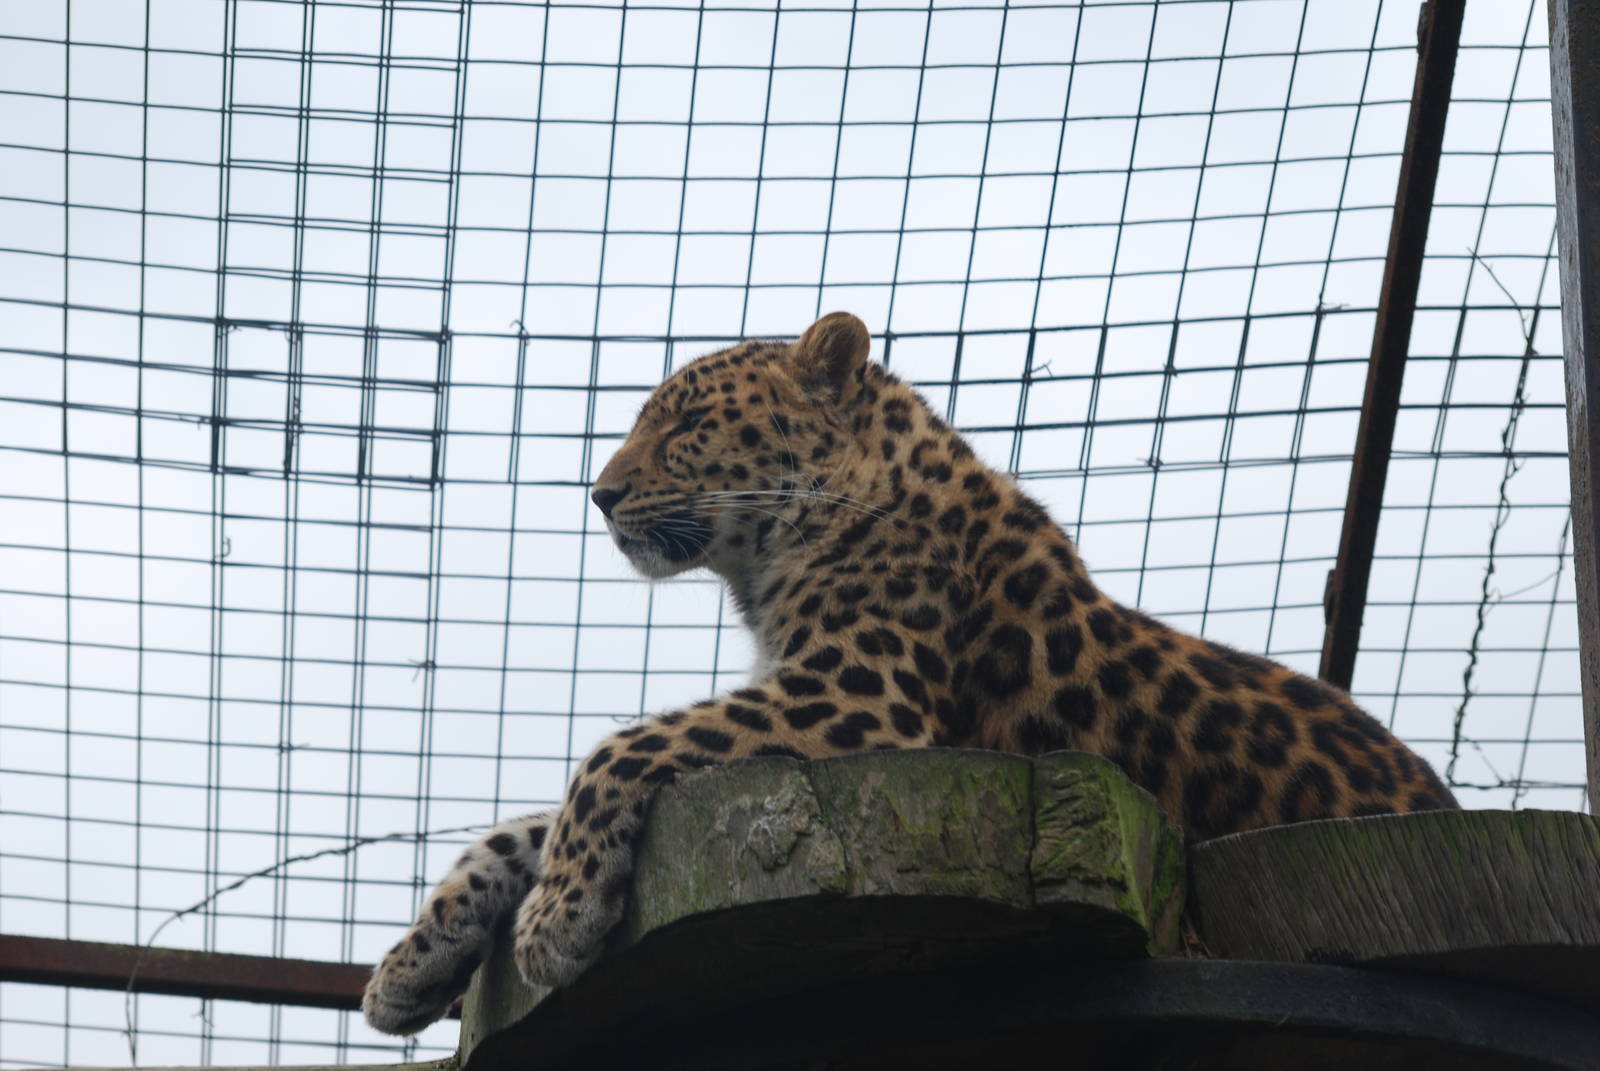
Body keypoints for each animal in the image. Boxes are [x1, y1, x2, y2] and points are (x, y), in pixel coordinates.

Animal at [362, 312, 1456, 1035]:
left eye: (686, 426)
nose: (600, 494)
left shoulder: (855, 698)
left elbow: (616, 750)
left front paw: (554, 922)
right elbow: (519, 826)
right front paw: (410, 967)